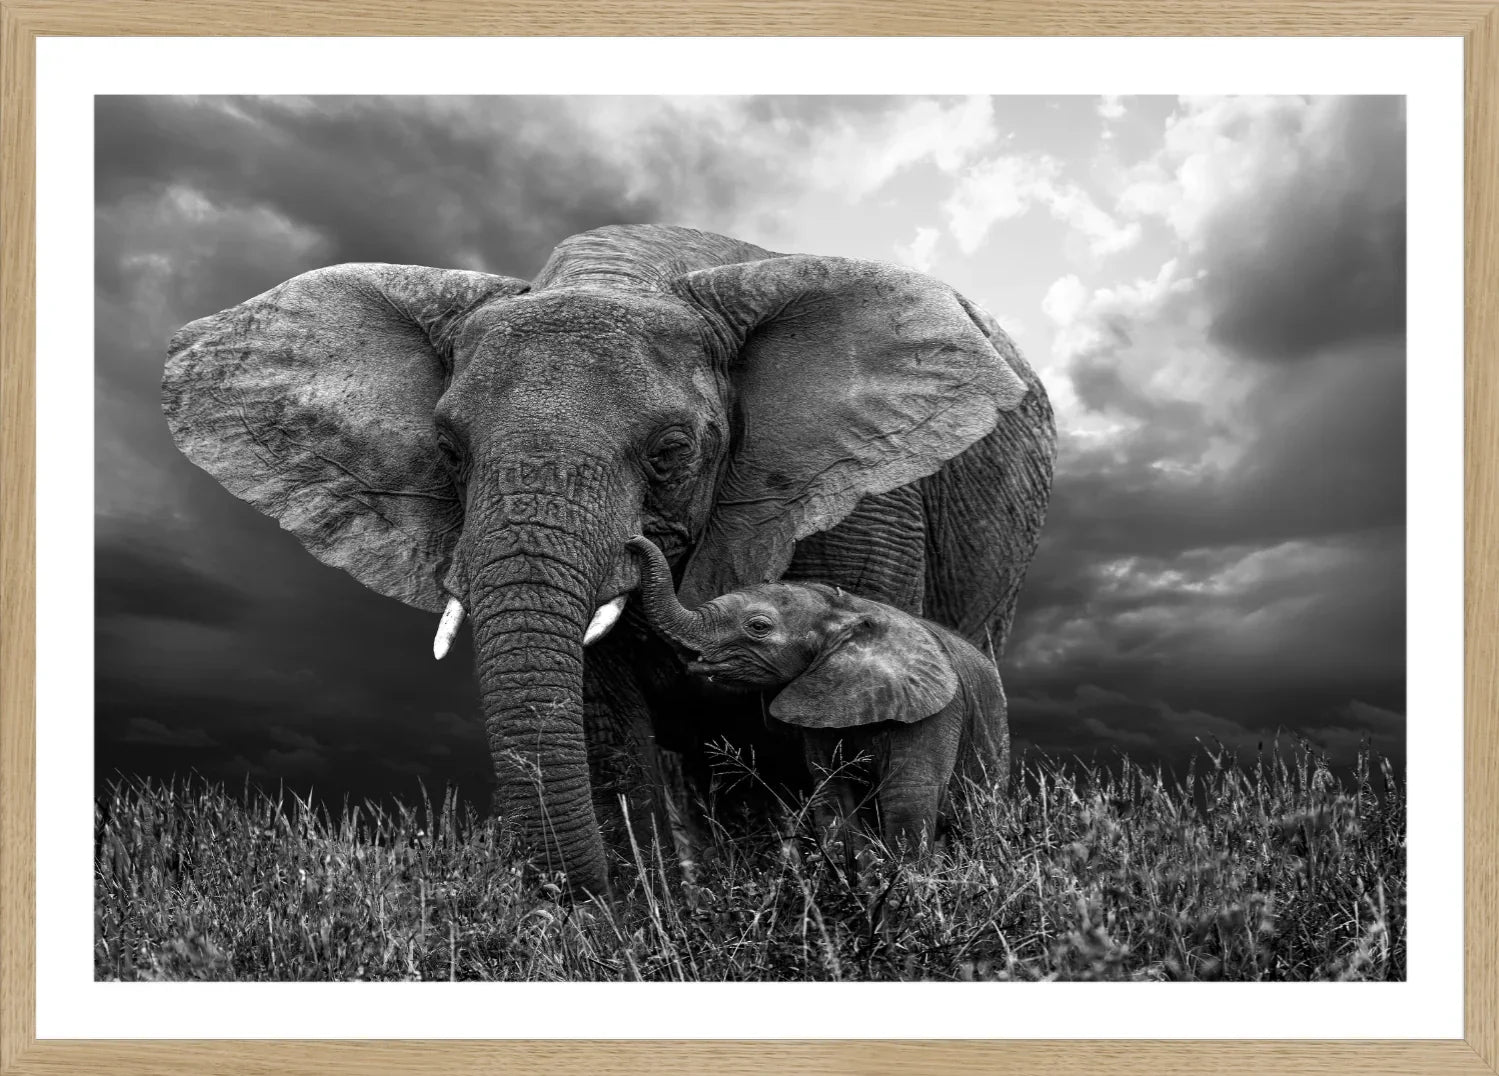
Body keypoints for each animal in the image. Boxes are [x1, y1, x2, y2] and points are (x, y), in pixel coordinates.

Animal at [628, 535, 1008, 855]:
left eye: (758, 627)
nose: (632, 541)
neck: (846, 611)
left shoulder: (936, 712)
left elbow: (908, 798)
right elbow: (834, 797)